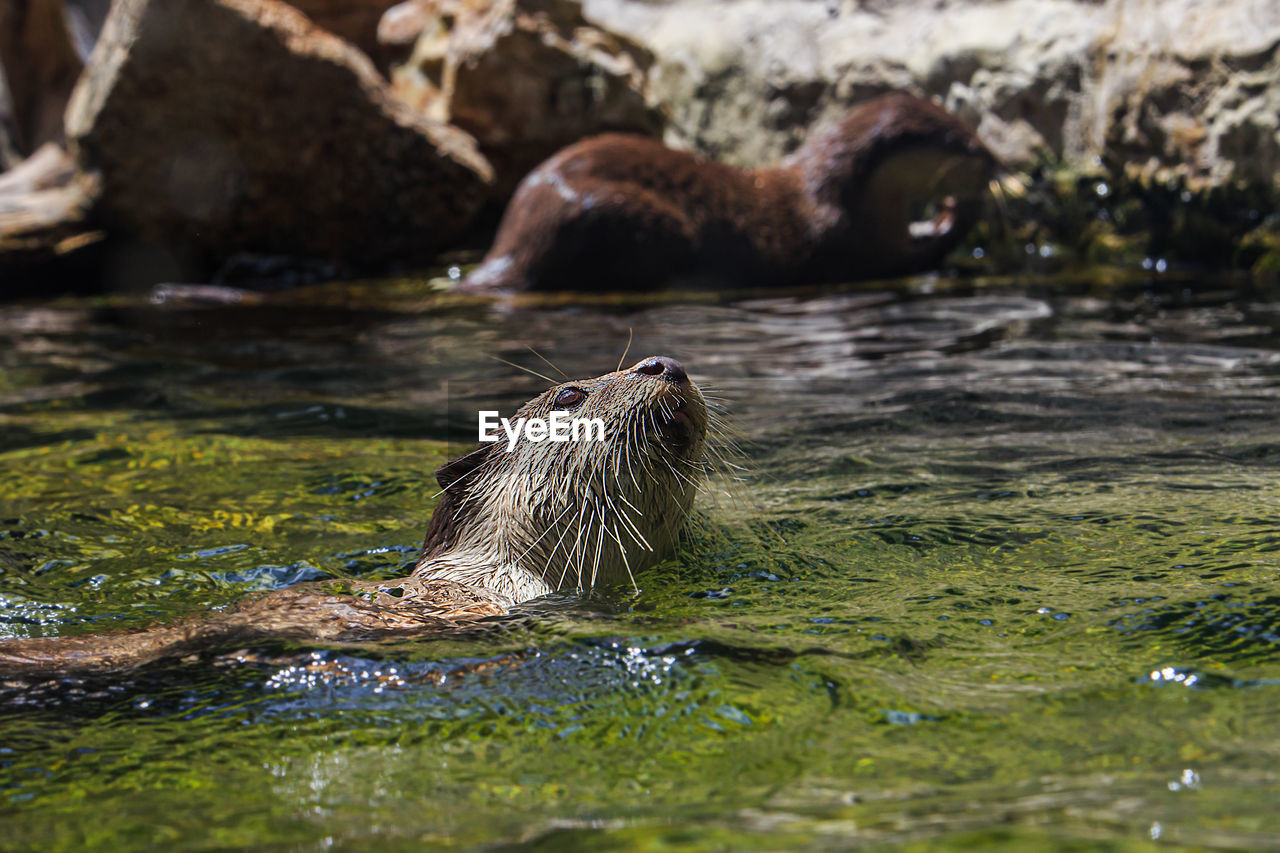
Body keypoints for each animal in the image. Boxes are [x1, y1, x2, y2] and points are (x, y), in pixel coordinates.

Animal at [465, 93, 993, 292]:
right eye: (964, 143)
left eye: (973, 131)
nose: (995, 160)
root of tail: (512, 241)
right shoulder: (851, 242)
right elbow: (910, 258)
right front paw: (960, 214)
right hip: (619, 212)